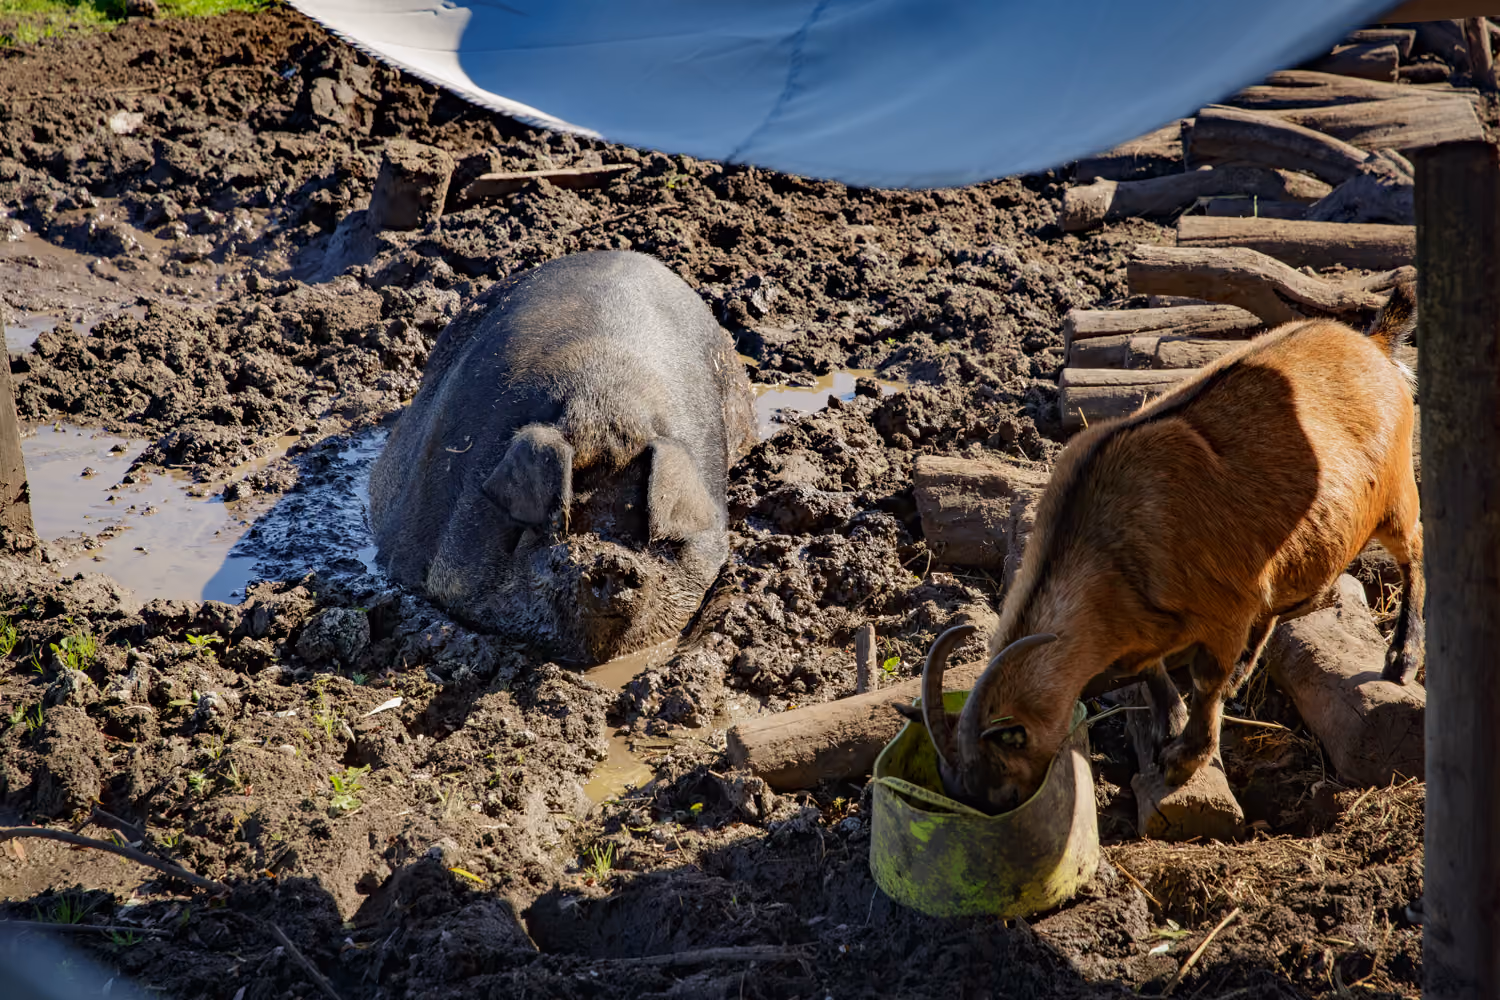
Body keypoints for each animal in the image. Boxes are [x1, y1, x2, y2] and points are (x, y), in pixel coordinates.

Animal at [899, 282, 1423, 815]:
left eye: (1003, 788)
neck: (1106, 546)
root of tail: (1374, 345)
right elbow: (1151, 673)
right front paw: (1167, 726)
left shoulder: (1227, 607)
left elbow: (1206, 681)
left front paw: (1184, 759)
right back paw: (1248, 668)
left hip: (1396, 497)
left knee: (1414, 554)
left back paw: (1402, 657)